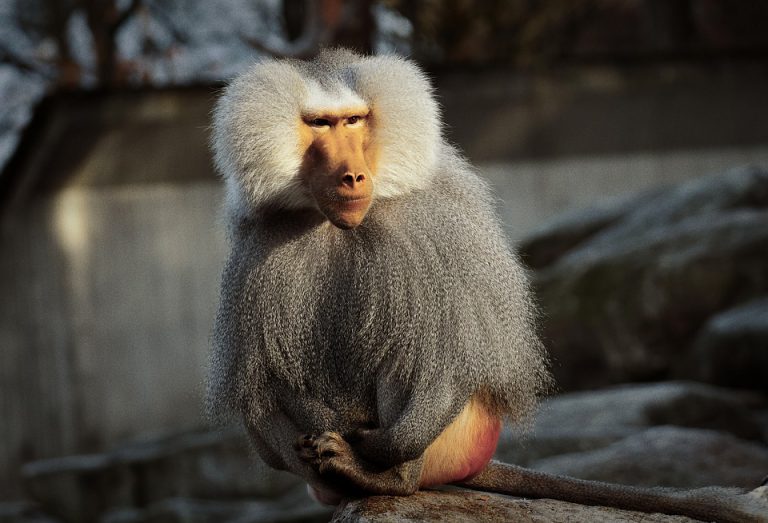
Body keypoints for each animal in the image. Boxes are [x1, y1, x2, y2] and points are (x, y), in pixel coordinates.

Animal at [207, 49, 768, 522]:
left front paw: (371, 449)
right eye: (319, 124)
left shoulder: (436, 233)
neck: (345, 224)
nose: (352, 178)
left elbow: (450, 356)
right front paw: (320, 436)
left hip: (462, 437)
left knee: (415, 351)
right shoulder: (260, 254)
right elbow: (269, 382)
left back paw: (381, 476)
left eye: (354, 120)